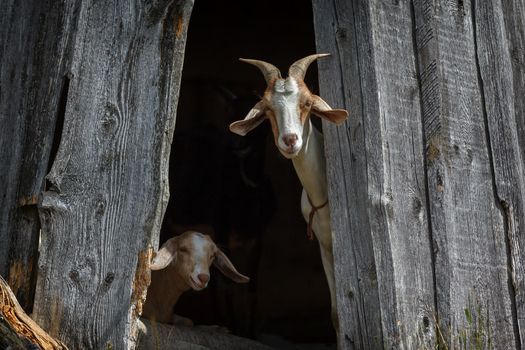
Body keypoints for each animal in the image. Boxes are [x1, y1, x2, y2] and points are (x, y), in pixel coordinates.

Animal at [229, 53, 348, 330]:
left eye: (307, 103)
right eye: (268, 109)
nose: (290, 140)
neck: (321, 194)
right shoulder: (325, 246)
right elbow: (336, 314)